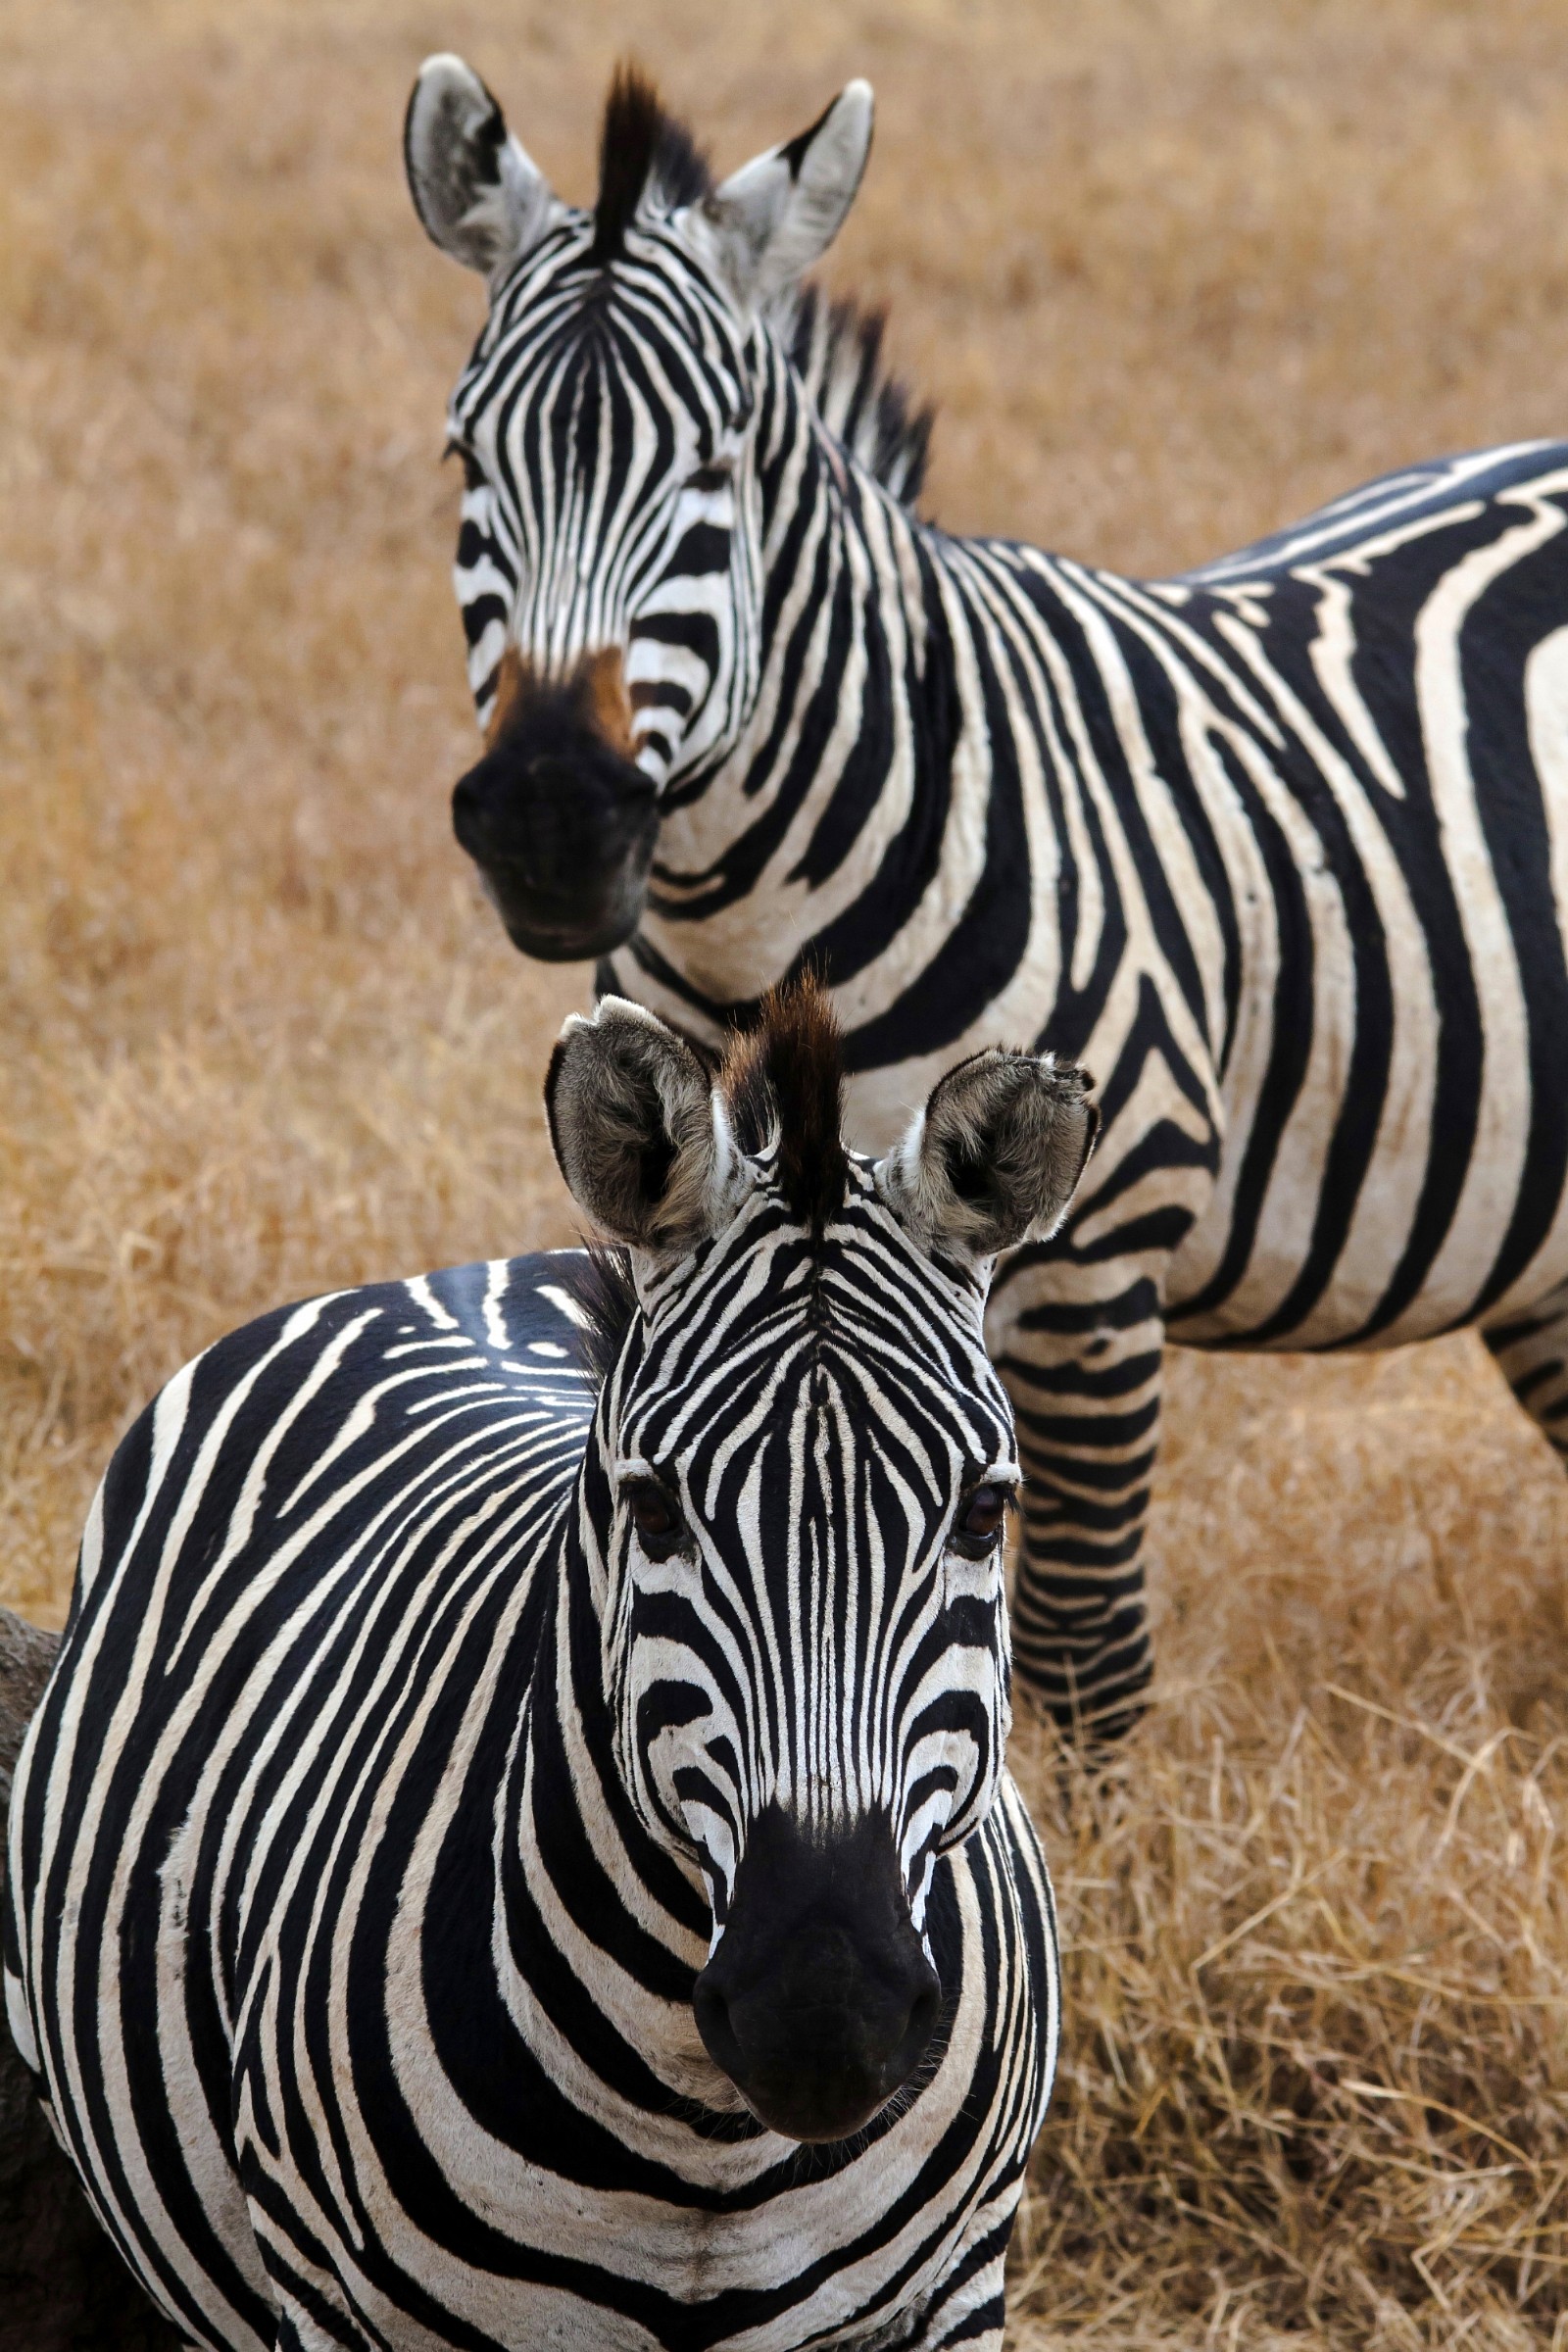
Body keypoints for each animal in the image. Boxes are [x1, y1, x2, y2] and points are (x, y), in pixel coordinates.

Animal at [5, 980, 1097, 2351]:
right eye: (654, 1509)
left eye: (983, 1513)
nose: (819, 2020)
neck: (706, 2138)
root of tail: (449, 1274)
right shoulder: (328, 2301)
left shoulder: (955, 2291)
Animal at [403, 56, 1568, 1738]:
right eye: (464, 459)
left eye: (717, 468)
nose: (552, 817)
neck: (759, 929)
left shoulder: (1089, 1275)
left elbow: (1077, 1663)